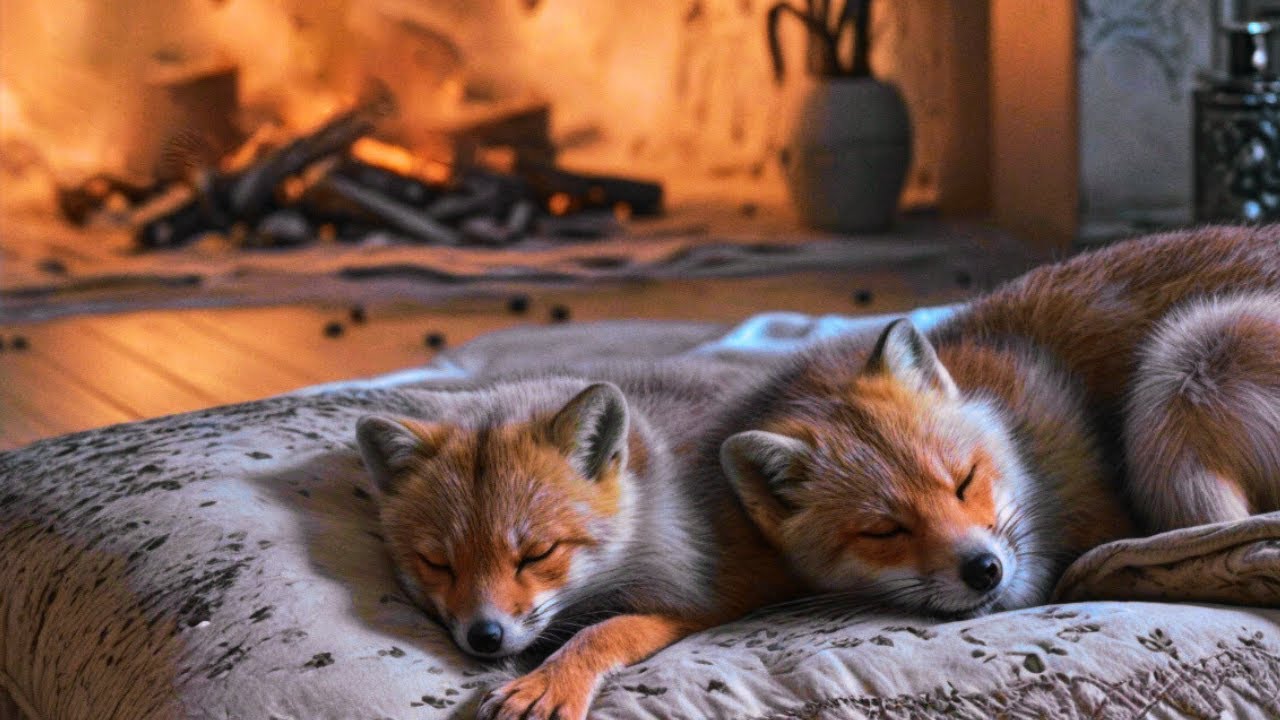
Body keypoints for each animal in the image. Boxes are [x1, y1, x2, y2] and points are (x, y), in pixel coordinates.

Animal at [355, 367, 803, 720]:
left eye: (538, 554)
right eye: (437, 563)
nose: (484, 636)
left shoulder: (704, 598)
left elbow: (604, 631)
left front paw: (551, 683)